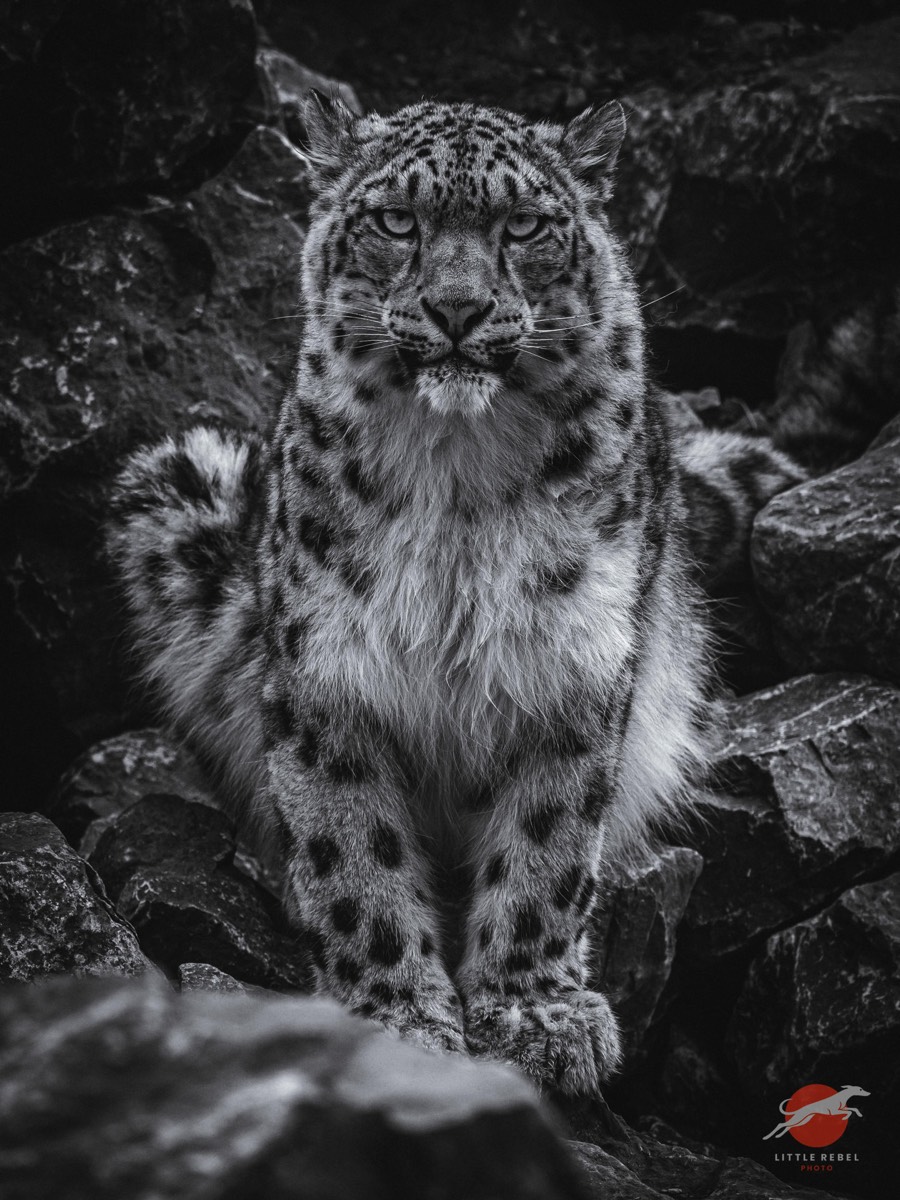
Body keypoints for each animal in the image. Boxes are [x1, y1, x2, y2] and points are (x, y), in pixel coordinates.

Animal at [106, 93, 802, 1097]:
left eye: (525, 225)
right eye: (399, 221)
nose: (459, 308)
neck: (459, 473)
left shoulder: (574, 661)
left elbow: (548, 843)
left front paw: (535, 1011)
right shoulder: (328, 671)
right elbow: (352, 849)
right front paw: (398, 1016)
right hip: (179, 491)